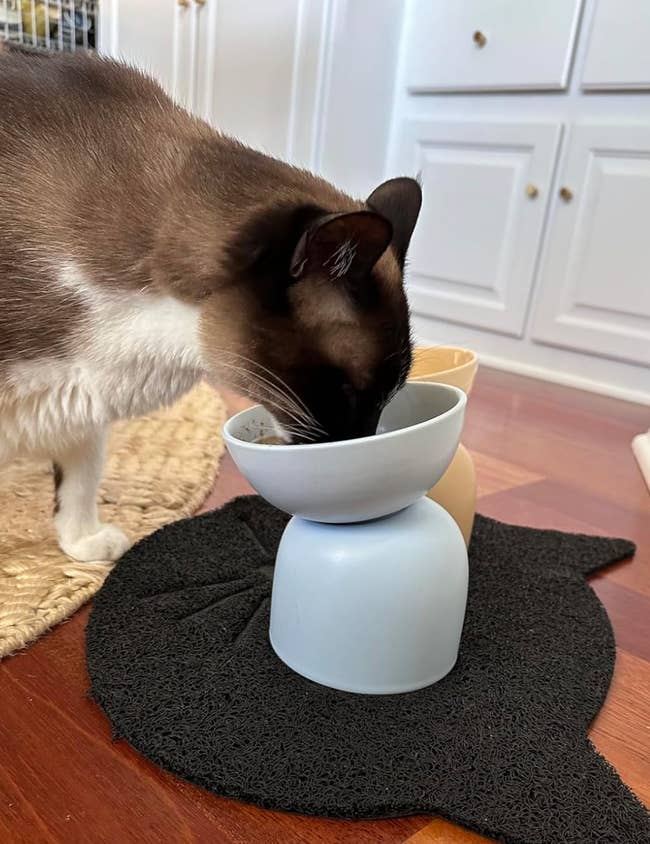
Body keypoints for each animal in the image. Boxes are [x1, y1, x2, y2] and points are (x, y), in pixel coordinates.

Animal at [0, 52, 420, 564]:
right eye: (348, 392)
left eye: (383, 400)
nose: (358, 446)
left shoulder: (79, 403)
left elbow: (80, 480)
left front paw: (85, 547)